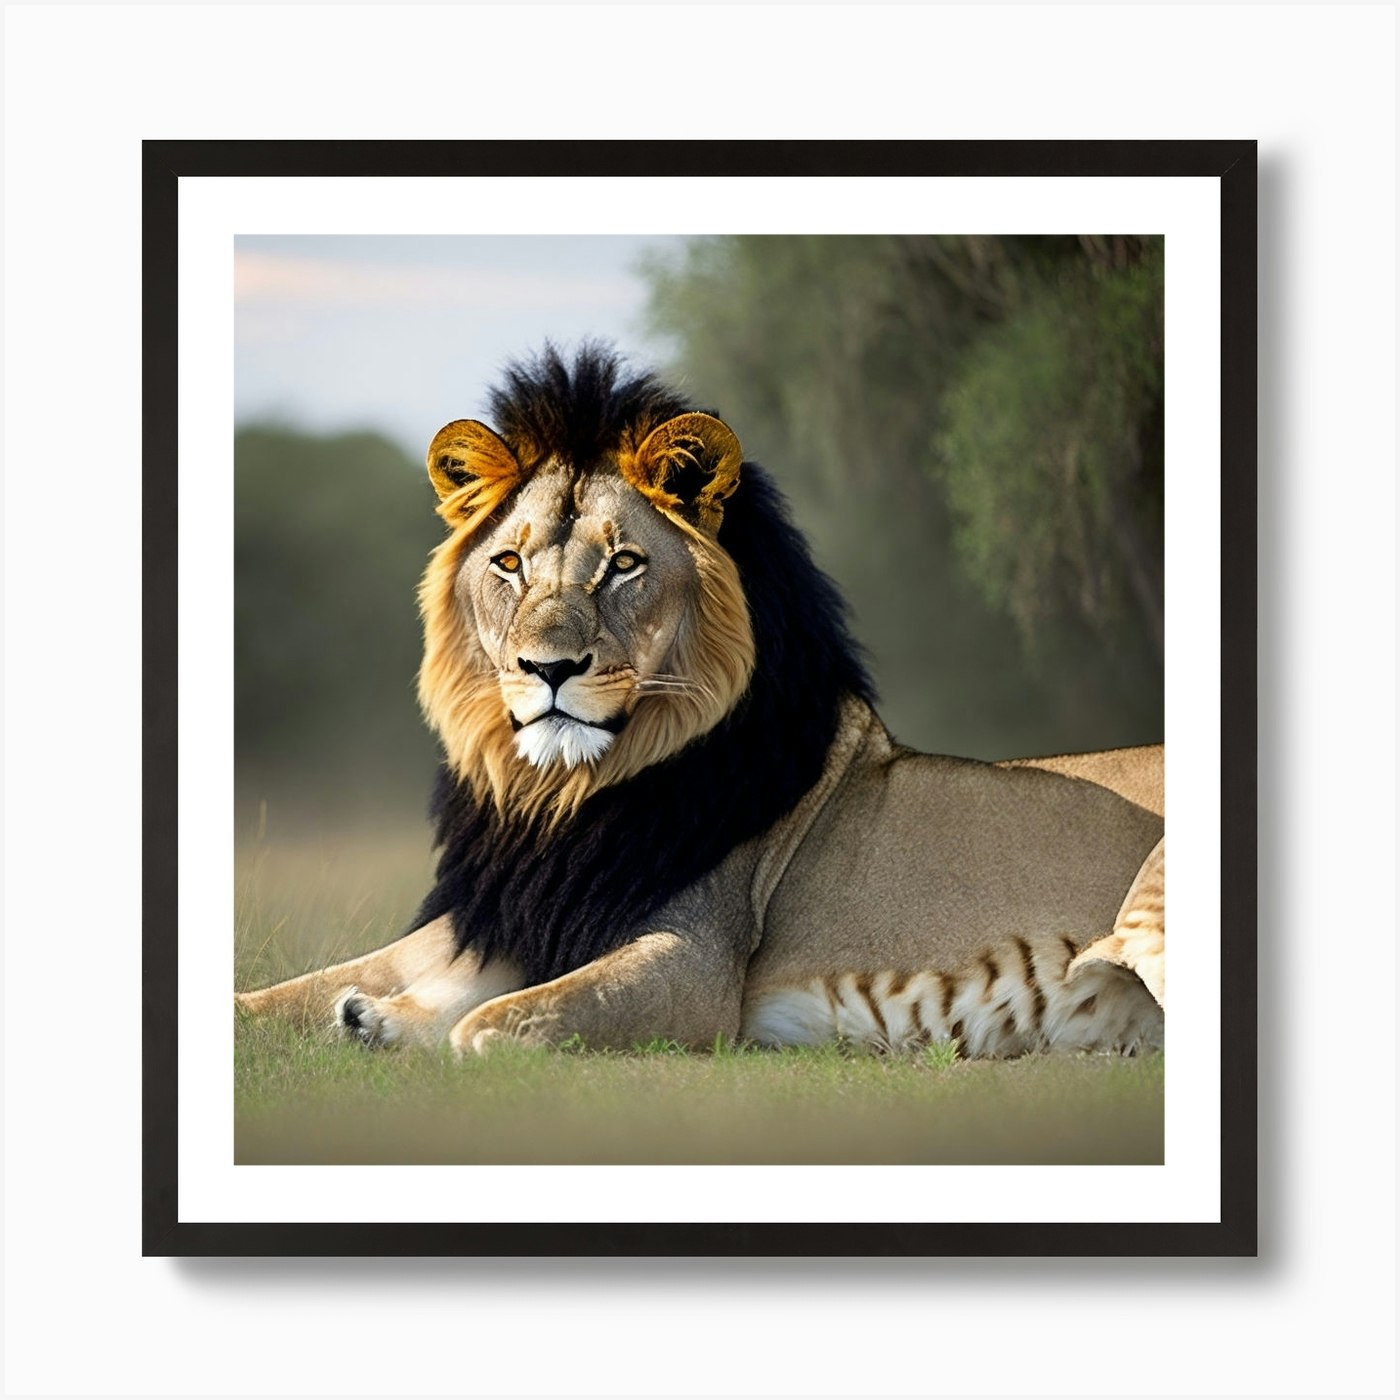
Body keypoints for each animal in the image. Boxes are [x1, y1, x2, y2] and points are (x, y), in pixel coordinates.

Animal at [237, 345, 1165, 1059]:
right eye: (509, 563)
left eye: (623, 565)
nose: (547, 667)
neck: (557, 800)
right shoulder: (500, 918)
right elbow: (270, 1001)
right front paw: (366, 1016)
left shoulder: (697, 966)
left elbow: (493, 1027)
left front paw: (397, 1026)